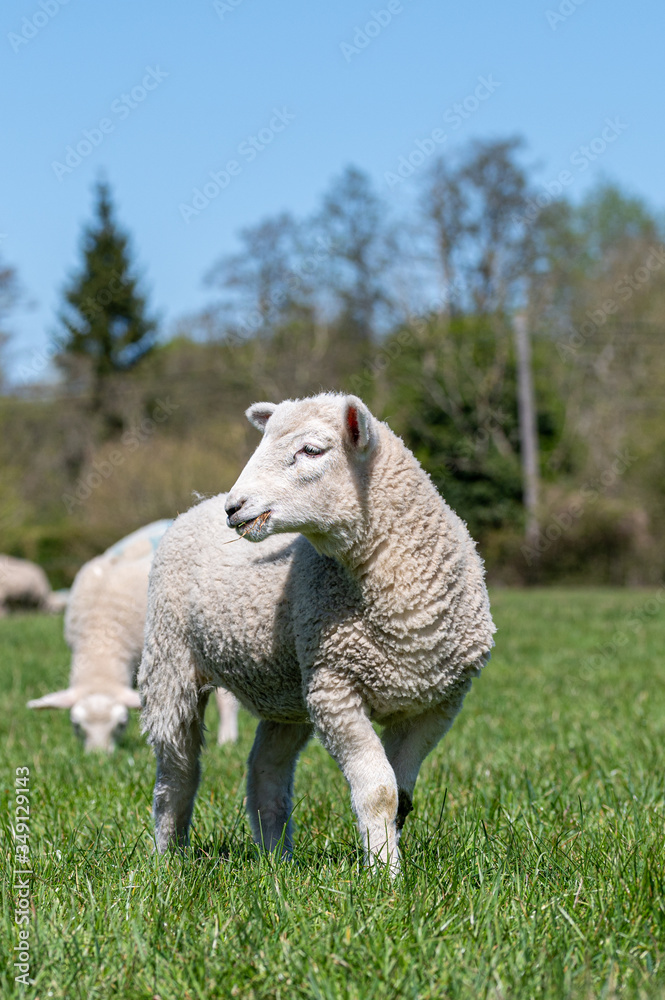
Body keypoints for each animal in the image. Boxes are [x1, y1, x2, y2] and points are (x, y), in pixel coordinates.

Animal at [139, 393, 495, 874]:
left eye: (311, 450)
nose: (234, 507)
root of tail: (197, 504)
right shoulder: (335, 690)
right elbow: (379, 792)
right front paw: (385, 877)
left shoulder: (437, 703)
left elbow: (401, 798)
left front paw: (388, 860)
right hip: (169, 662)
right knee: (177, 773)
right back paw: (168, 859)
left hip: (286, 692)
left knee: (265, 772)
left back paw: (276, 860)